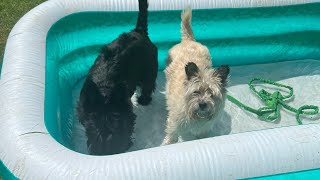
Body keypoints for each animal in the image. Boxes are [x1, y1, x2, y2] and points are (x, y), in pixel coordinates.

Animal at [77, 0, 158, 155]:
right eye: (93, 126)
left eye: (119, 123)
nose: (109, 149)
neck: (104, 90)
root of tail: (139, 31)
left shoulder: (127, 113)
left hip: (149, 69)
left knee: (148, 85)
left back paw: (144, 100)